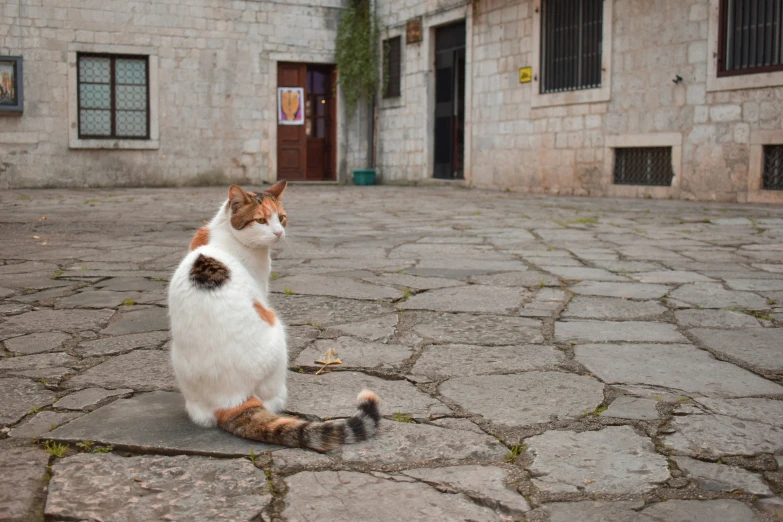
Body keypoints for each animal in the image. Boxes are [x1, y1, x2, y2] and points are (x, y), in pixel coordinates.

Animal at [167, 181, 382, 448]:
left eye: (281, 218)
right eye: (260, 220)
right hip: (277, 332)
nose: (279, 233)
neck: (224, 232)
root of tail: (231, 398)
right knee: (272, 401)